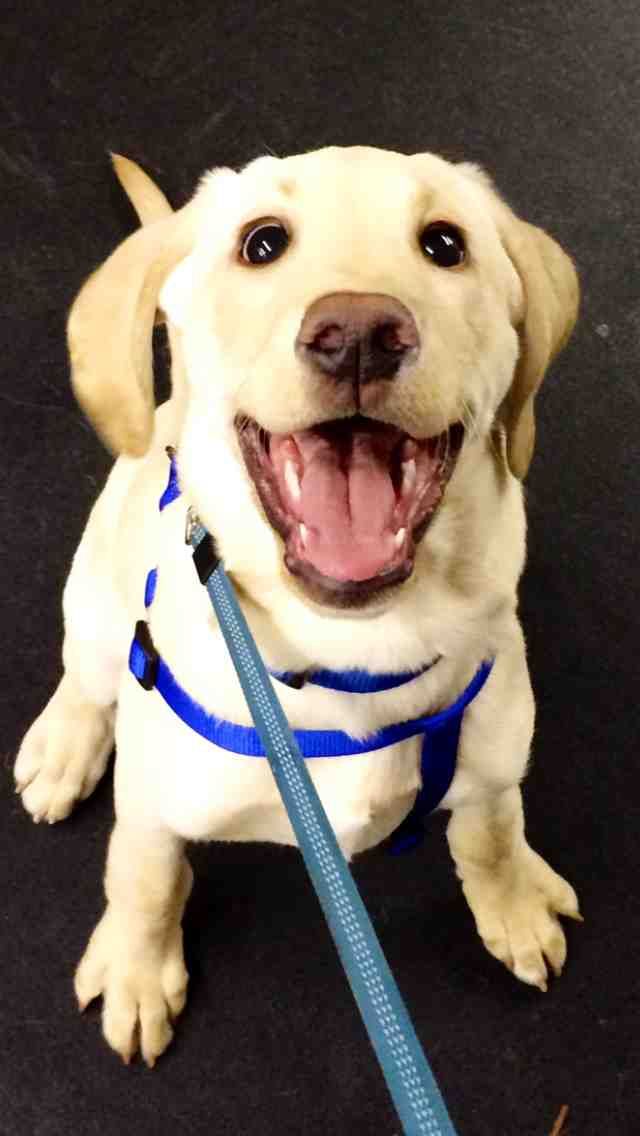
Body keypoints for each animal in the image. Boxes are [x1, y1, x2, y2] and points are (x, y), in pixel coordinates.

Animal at [12, 148, 582, 1063]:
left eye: (445, 244)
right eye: (263, 243)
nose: (359, 333)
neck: (352, 658)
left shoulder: (496, 756)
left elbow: (491, 829)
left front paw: (514, 902)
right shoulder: (152, 803)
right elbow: (145, 878)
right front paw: (137, 969)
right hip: (96, 600)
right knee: (88, 676)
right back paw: (64, 747)